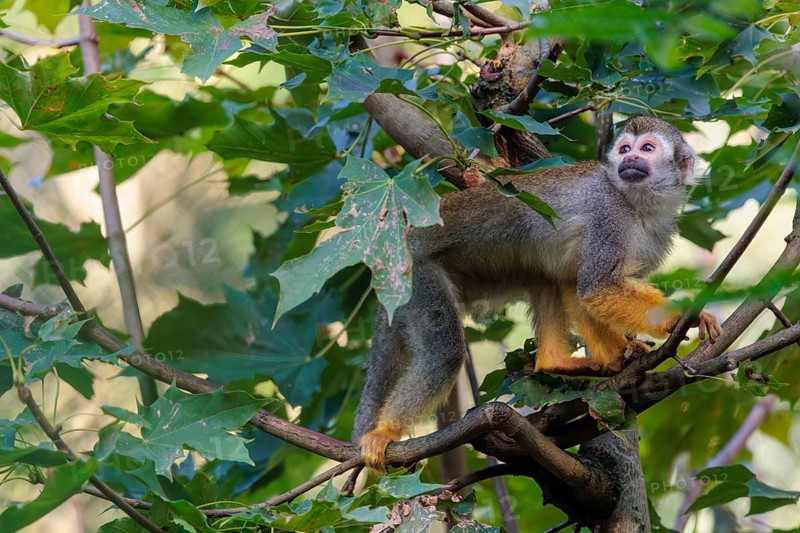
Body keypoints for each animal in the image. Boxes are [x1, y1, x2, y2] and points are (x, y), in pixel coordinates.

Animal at [352, 116, 722, 471]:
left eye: (646, 148)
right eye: (625, 149)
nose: (629, 159)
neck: (637, 204)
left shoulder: (659, 232)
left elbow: (579, 285)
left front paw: (616, 357)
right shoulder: (609, 217)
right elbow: (597, 285)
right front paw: (679, 317)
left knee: (548, 275)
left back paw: (554, 361)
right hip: (415, 272)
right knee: (444, 353)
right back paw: (385, 431)